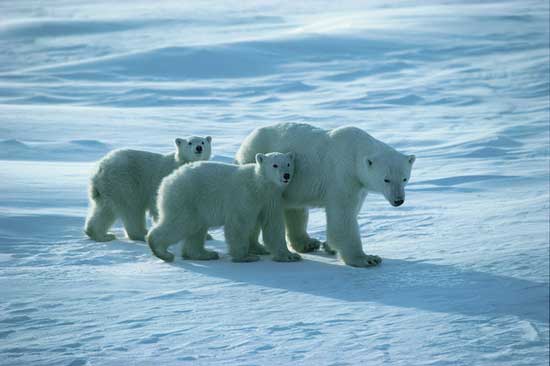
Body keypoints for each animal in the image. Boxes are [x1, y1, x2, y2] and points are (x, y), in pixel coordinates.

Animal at [235, 121, 416, 268]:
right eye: (386, 180)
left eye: (404, 178)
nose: (398, 200)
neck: (355, 153)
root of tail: (244, 144)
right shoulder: (342, 176)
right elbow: (343, 217)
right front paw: (366, 259)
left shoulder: (359, 185)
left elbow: (353, 209)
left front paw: (328, 246)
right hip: (260, 169)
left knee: (295, 210)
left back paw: (307, 243)